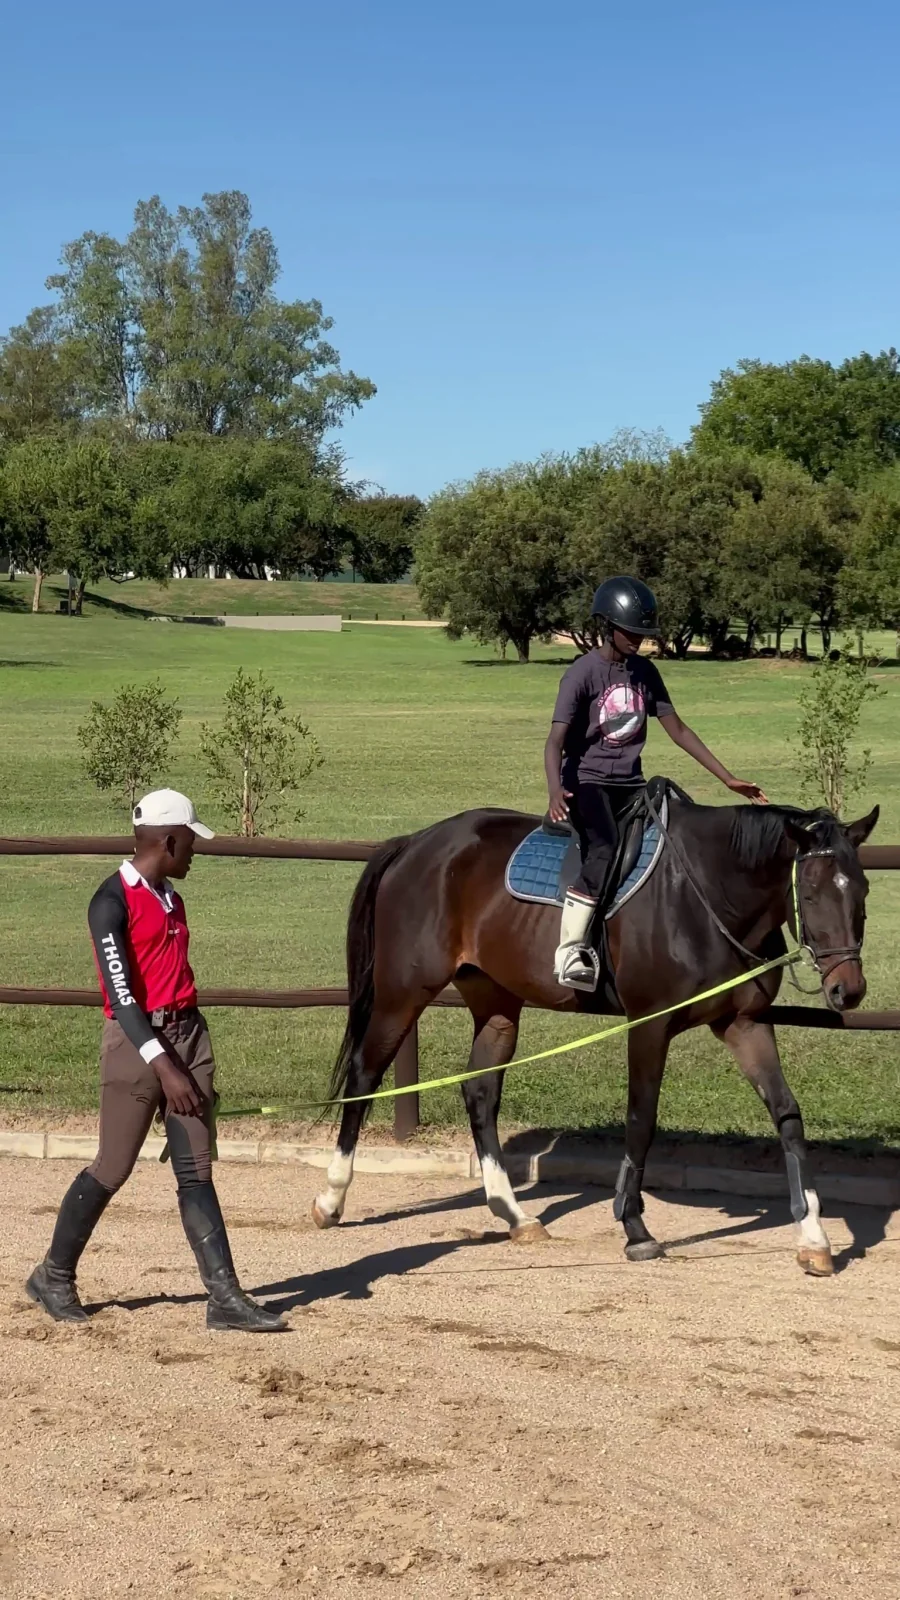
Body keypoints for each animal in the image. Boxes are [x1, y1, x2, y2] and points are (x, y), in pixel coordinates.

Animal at [311, 793, 878, 1276]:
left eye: (863, 890)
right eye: (809, 893)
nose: (847, 990)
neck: (705, 893)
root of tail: (417, 843)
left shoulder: (745, 1024)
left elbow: (787, 1116)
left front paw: (814, 1239)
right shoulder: (650, 1024)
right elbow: (641, 1120)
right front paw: (635, 1227)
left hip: (496, 1004)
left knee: (480, 1091)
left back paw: (515, 1215)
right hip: (403, 993)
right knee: (364, 1076)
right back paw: (331, 1199)